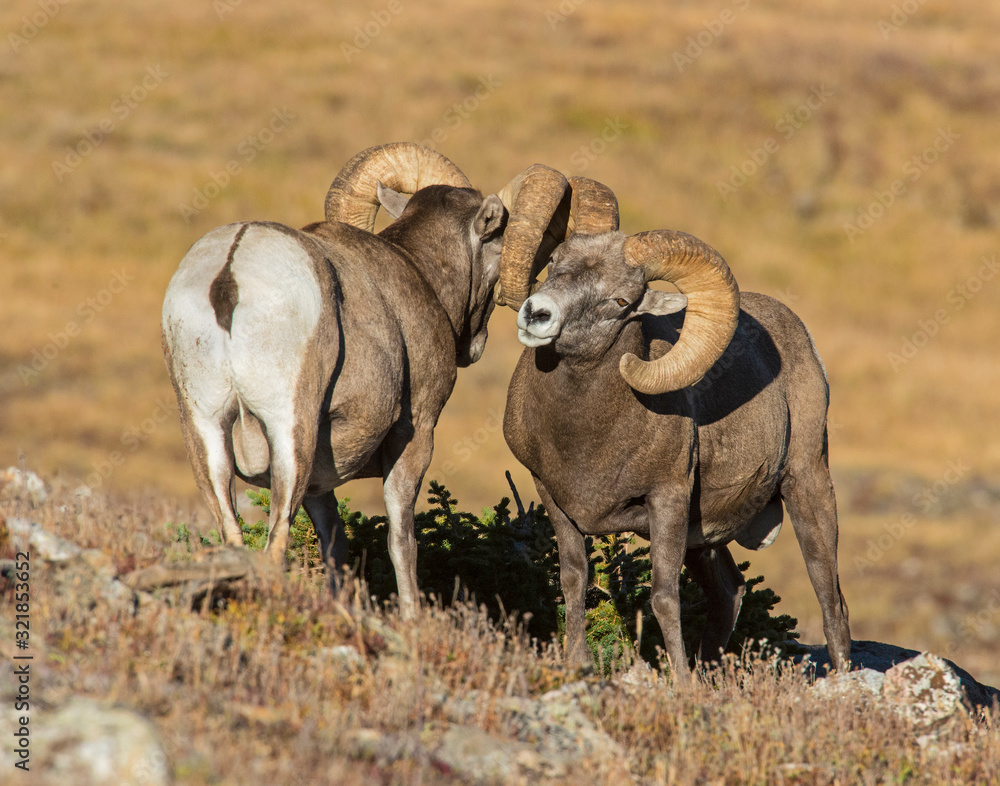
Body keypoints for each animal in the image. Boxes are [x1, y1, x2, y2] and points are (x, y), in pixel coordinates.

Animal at [161, 144, 569, 616]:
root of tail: (230, 271)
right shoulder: (415, 436)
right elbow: (401, 541)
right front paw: (412, 617)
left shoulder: (320, 483)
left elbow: (335, 548)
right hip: (290, 432)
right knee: (274, 544)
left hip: (204, 429)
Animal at [499, 180, 851, 677]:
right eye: (554, 262)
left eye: (621, 301)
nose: (537, 314)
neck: (585, 437)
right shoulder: (553, 496)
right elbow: (573, 578)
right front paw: (578, 664)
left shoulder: (667, 499)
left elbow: (664, 597)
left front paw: (681, 682)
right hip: (704, 539)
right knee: (730, 591)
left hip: (807, 484)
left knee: (830, 597)